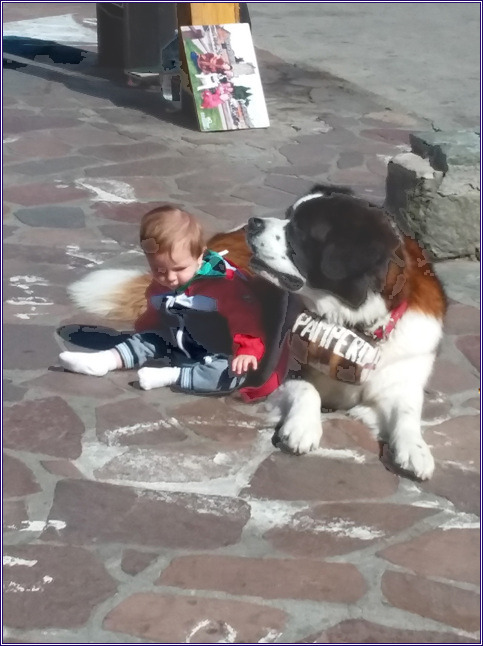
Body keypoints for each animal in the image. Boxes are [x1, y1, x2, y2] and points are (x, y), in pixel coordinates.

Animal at [245, 185, 446, 480]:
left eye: (300, 229)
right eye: (287, 215)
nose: (253, 223)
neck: (360, 323)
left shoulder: (403, 379)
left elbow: (407, 412)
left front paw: (415, 449)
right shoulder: (282, 372)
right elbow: (306, 388)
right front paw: (303, 427)